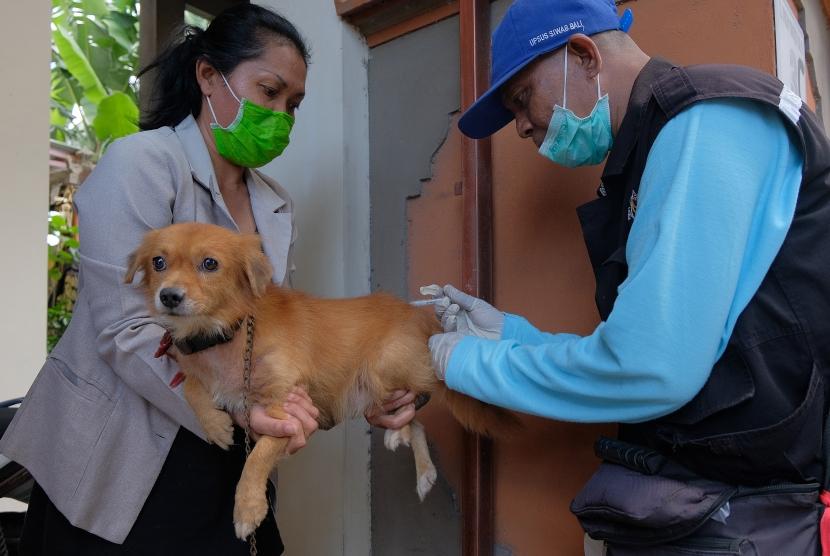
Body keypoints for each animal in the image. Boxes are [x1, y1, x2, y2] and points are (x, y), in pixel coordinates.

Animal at [125, 222, 512, 540]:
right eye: (158, 262)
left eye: (210, 264)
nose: (168, 296)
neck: (225, 334)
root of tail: (417, 315)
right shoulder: (201, 371)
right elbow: (191, 385)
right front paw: (217, 425)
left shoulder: (286, 403)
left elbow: (258, 456)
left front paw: (248, 508)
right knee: (413, 417)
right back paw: (423, 468)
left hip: (383, 365)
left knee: (416, 396)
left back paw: (399, 435)